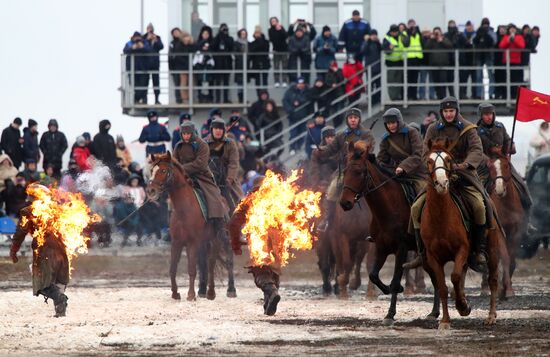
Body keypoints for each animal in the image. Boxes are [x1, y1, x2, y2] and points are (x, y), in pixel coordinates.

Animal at [147, 152, 220, 300]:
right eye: (152, 170)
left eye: (163, 170)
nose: (151, 190)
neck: (185, 209)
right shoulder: (177, 242)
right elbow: (172, 268)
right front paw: (175, 293)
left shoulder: (193, 242)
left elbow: (191, 269)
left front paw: (191, 294)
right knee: (204, 264)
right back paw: (203, 290)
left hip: (214, 239)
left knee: (211, 263)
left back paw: (211, 292)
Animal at [340, 140, 440, 324]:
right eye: (344, 171)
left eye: (359, 172)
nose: (345, 203)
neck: (390, 208)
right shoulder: (381, 248)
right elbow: (373, 275)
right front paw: (387, 290)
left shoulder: (401, 249)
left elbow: (394, 281)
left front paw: (390, 314)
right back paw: (434, 312)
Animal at [422, 138, 504, 328]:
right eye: (429, 161)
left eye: (448, 160)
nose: (442, 184)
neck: (440, 217)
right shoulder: (433, 257)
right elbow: (443, 287)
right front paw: (445, 321)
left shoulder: (462, 250)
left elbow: (455, 276)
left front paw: (463, 306)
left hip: (492, 251)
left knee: (493, 280)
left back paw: (491, 316)